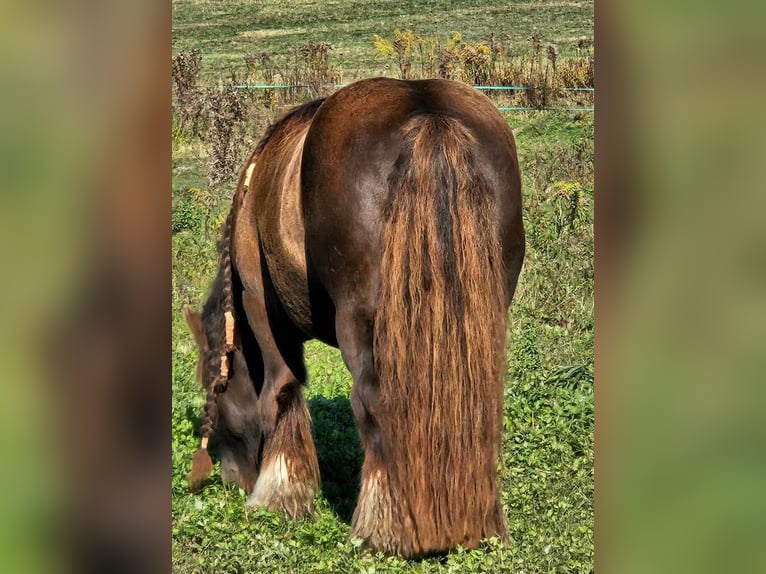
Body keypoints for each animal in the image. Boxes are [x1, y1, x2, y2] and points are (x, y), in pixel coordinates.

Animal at [183, 79, 524, 560]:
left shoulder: (259, 306)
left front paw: (279, 492)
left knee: (374, 402)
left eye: (215, 387)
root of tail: (428, 115)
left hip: (361, 321)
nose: (233, 478)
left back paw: (380, 528)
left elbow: (280, 389)